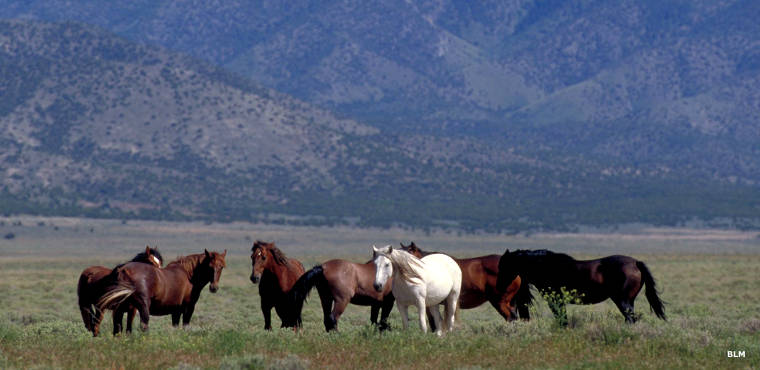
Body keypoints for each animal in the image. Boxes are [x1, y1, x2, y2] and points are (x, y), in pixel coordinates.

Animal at [97, 247, 226, 334]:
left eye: (222, 267)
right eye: (209, 266)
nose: (214, 287)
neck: (188, 274)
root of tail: (123, 269)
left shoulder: (176, 310)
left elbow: (175, 326)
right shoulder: (188, 308)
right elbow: (185, 326)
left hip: (121, 307)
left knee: (118, 327)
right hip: (142, 306)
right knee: (143, 325)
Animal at [492, 249, 664, 324]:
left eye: (504, 265)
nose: (498, 286)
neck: (546, 266)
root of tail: (636, 263)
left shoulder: (556, 301)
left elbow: (562, 318)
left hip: (623, 301)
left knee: (630, 319)